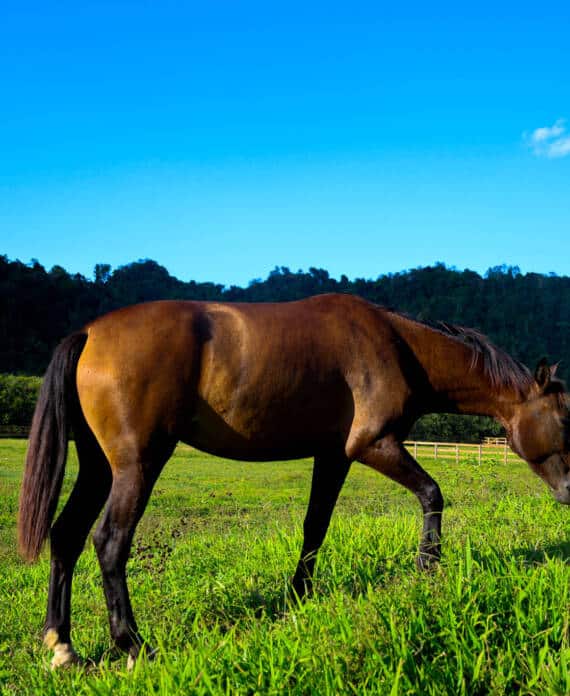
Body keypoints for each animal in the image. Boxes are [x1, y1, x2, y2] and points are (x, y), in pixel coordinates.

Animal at [18, 293, 570, 668]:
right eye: (564, 420)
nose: (569, 493)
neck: (396, 344)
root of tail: (90, 334)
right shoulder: (372, 444)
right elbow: (432, 493)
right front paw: (428, 564)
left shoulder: (333, 456)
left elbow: (315, 526)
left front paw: (299, 597)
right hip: (136, 466)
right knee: (109, 543)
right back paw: (132, 644)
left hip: (98, 468)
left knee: (66, 536)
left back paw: (61, 644)